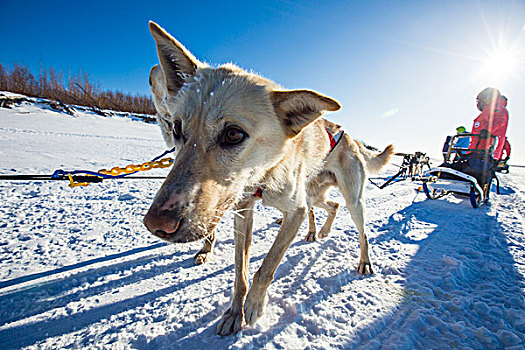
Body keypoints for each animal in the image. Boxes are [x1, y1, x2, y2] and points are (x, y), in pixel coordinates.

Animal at [143, 22, 392, 336]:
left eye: (234, 134)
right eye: (177, 128)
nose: (156, 223)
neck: (264, 174)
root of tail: (351, 137)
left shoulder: (295, 210)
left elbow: (267, 266)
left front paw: (254, 305)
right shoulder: (243, 212)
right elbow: (241, 271)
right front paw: (234, 311)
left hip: (352, 200)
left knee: (362, 231)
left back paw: (364, 261)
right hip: (314, 195)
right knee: (330, 207)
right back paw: (318, 232)